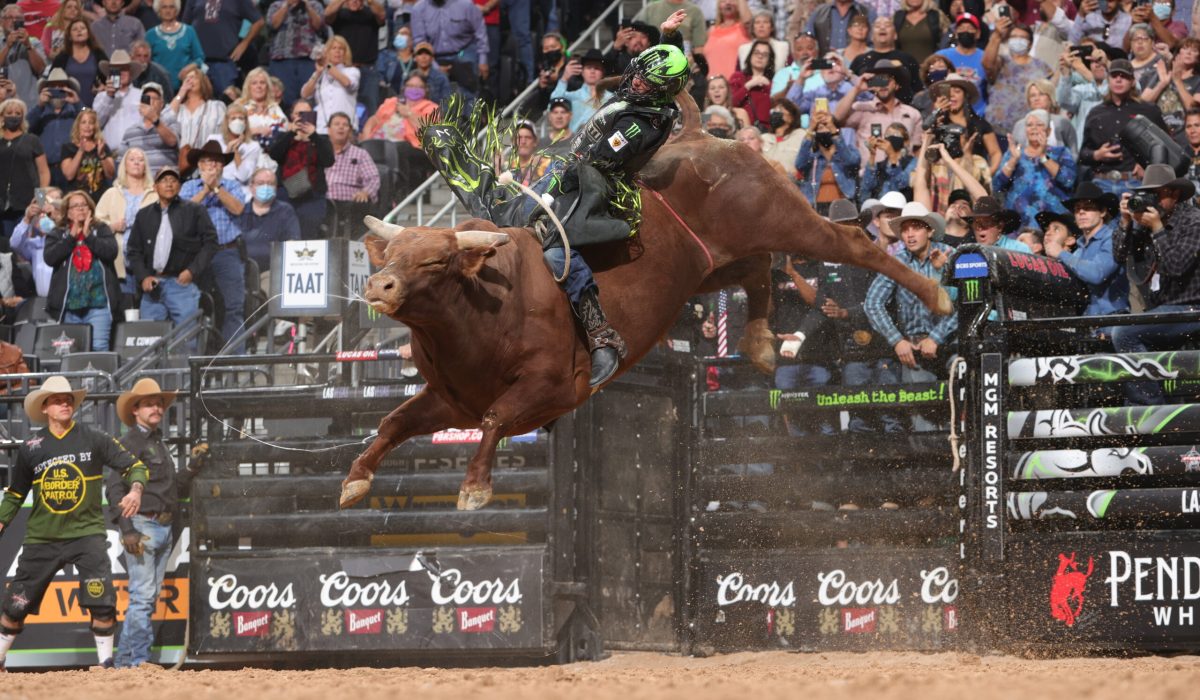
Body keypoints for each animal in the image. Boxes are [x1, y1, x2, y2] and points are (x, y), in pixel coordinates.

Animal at [343, 91, 950, 509]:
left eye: (436, 261)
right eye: (389, 254)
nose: (379, 287)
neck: (486, 309)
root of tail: (702, 136)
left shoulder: (551, 387)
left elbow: (495, 418)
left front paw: (473, 489)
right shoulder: (450, 401)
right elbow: (394, 422)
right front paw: (354, 479)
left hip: (781, 215)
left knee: (850, 247)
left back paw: (938, 296)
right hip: (708, 266)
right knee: (757, 272)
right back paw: (759, 343)